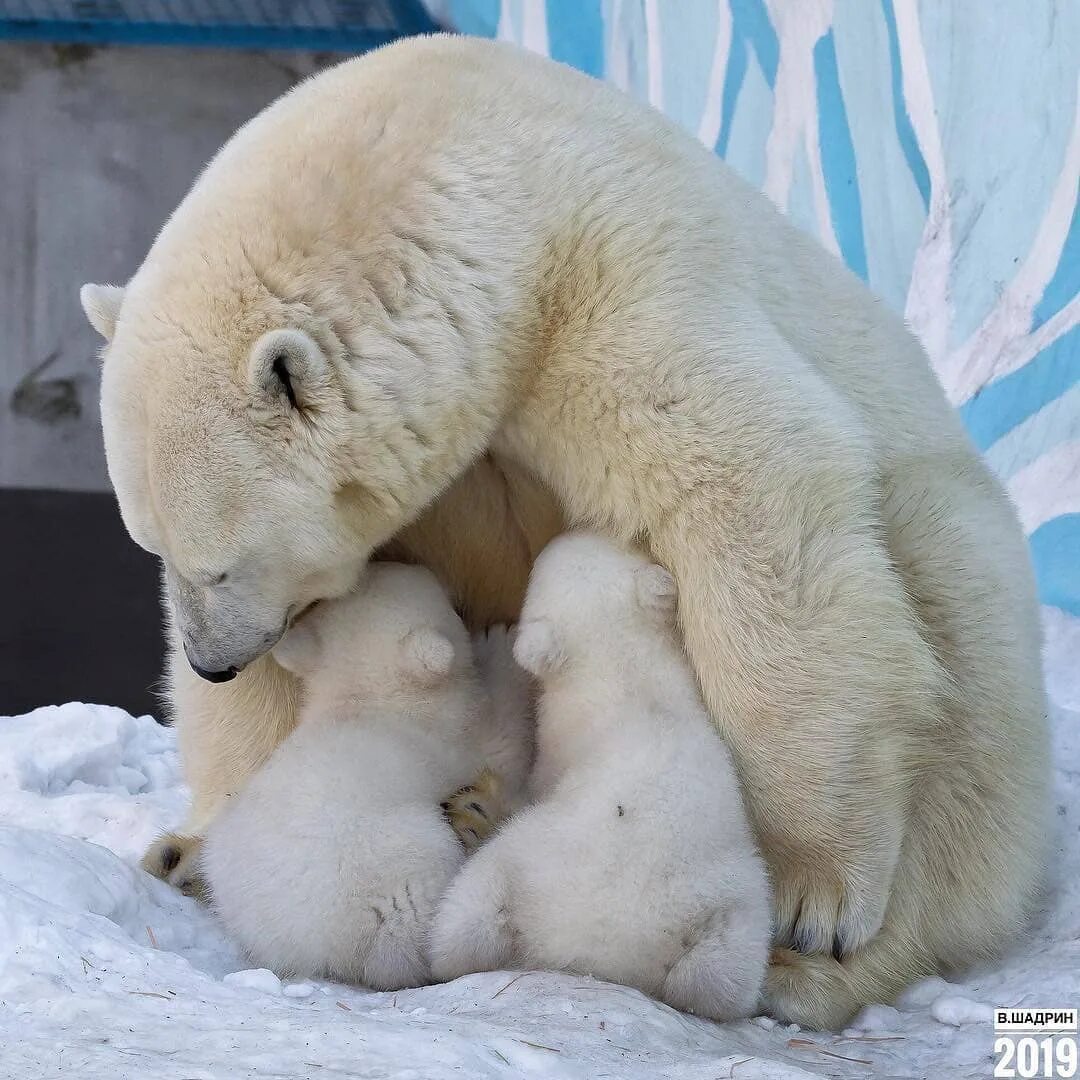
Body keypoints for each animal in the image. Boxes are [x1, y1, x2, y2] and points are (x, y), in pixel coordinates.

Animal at [200, 561, 533, 989]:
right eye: (454, 608)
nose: (426, 566)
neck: (365, 699)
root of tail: (321, 951)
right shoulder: (456, 739)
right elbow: (504, 741)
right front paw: (502, 643)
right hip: (401, 869)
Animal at [425, 535, 773, 1023]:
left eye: (537, 569)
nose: (561, 534)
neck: (624, 676)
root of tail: (595, 956)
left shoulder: (554, 755)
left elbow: (529, 781)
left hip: (515, 866)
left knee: (460, 924)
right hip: (731, 918)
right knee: (718, 987)